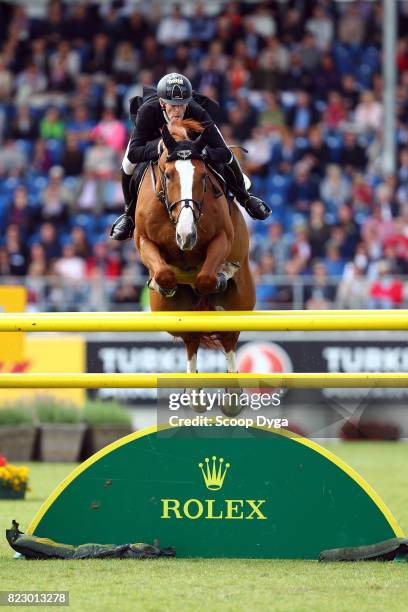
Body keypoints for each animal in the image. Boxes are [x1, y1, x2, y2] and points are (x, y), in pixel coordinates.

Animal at [134, 119, 255, 414]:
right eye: (167, 175)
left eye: (202, 176)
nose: (186, 236)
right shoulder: (143, 241)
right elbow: (164, 273)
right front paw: (163, 283)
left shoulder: (222, 237)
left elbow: (206, 278)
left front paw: (221, 275)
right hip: (167, 312)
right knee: (191, 337)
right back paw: (196, 394)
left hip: (241, 302)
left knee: (228, 337)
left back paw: (232, 398)